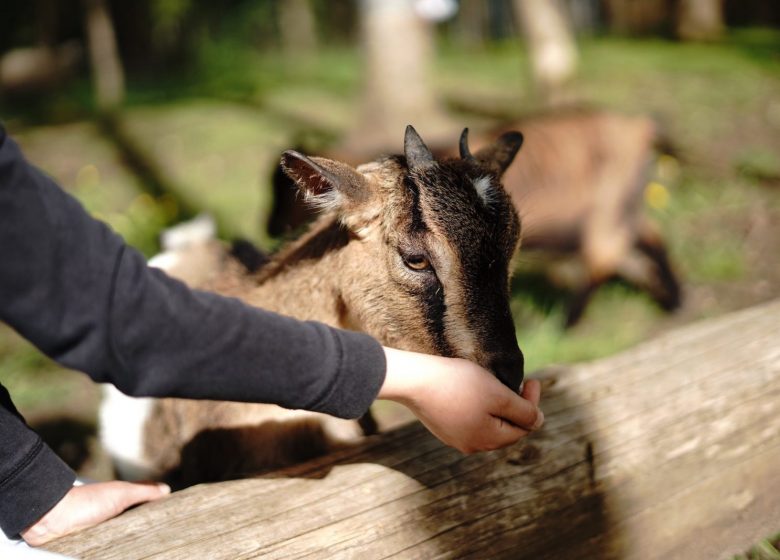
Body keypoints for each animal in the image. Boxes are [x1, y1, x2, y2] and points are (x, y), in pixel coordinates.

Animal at [268, 110, 684, 326]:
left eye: (285, 191)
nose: (269, 226)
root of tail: (641, 127)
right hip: (622, 205)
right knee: (646, 239)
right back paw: (673, 300)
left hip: (609, 202)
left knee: (607, 254)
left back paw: (567, 322)